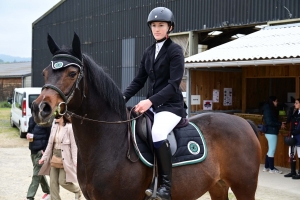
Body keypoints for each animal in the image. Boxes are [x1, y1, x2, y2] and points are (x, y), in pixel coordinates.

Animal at [31, 33, 262, 199]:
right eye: (44, 73)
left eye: (72, 74)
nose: (39, 108)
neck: (108, 141)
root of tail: (244, 123)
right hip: (218, 186)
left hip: (244, 187)